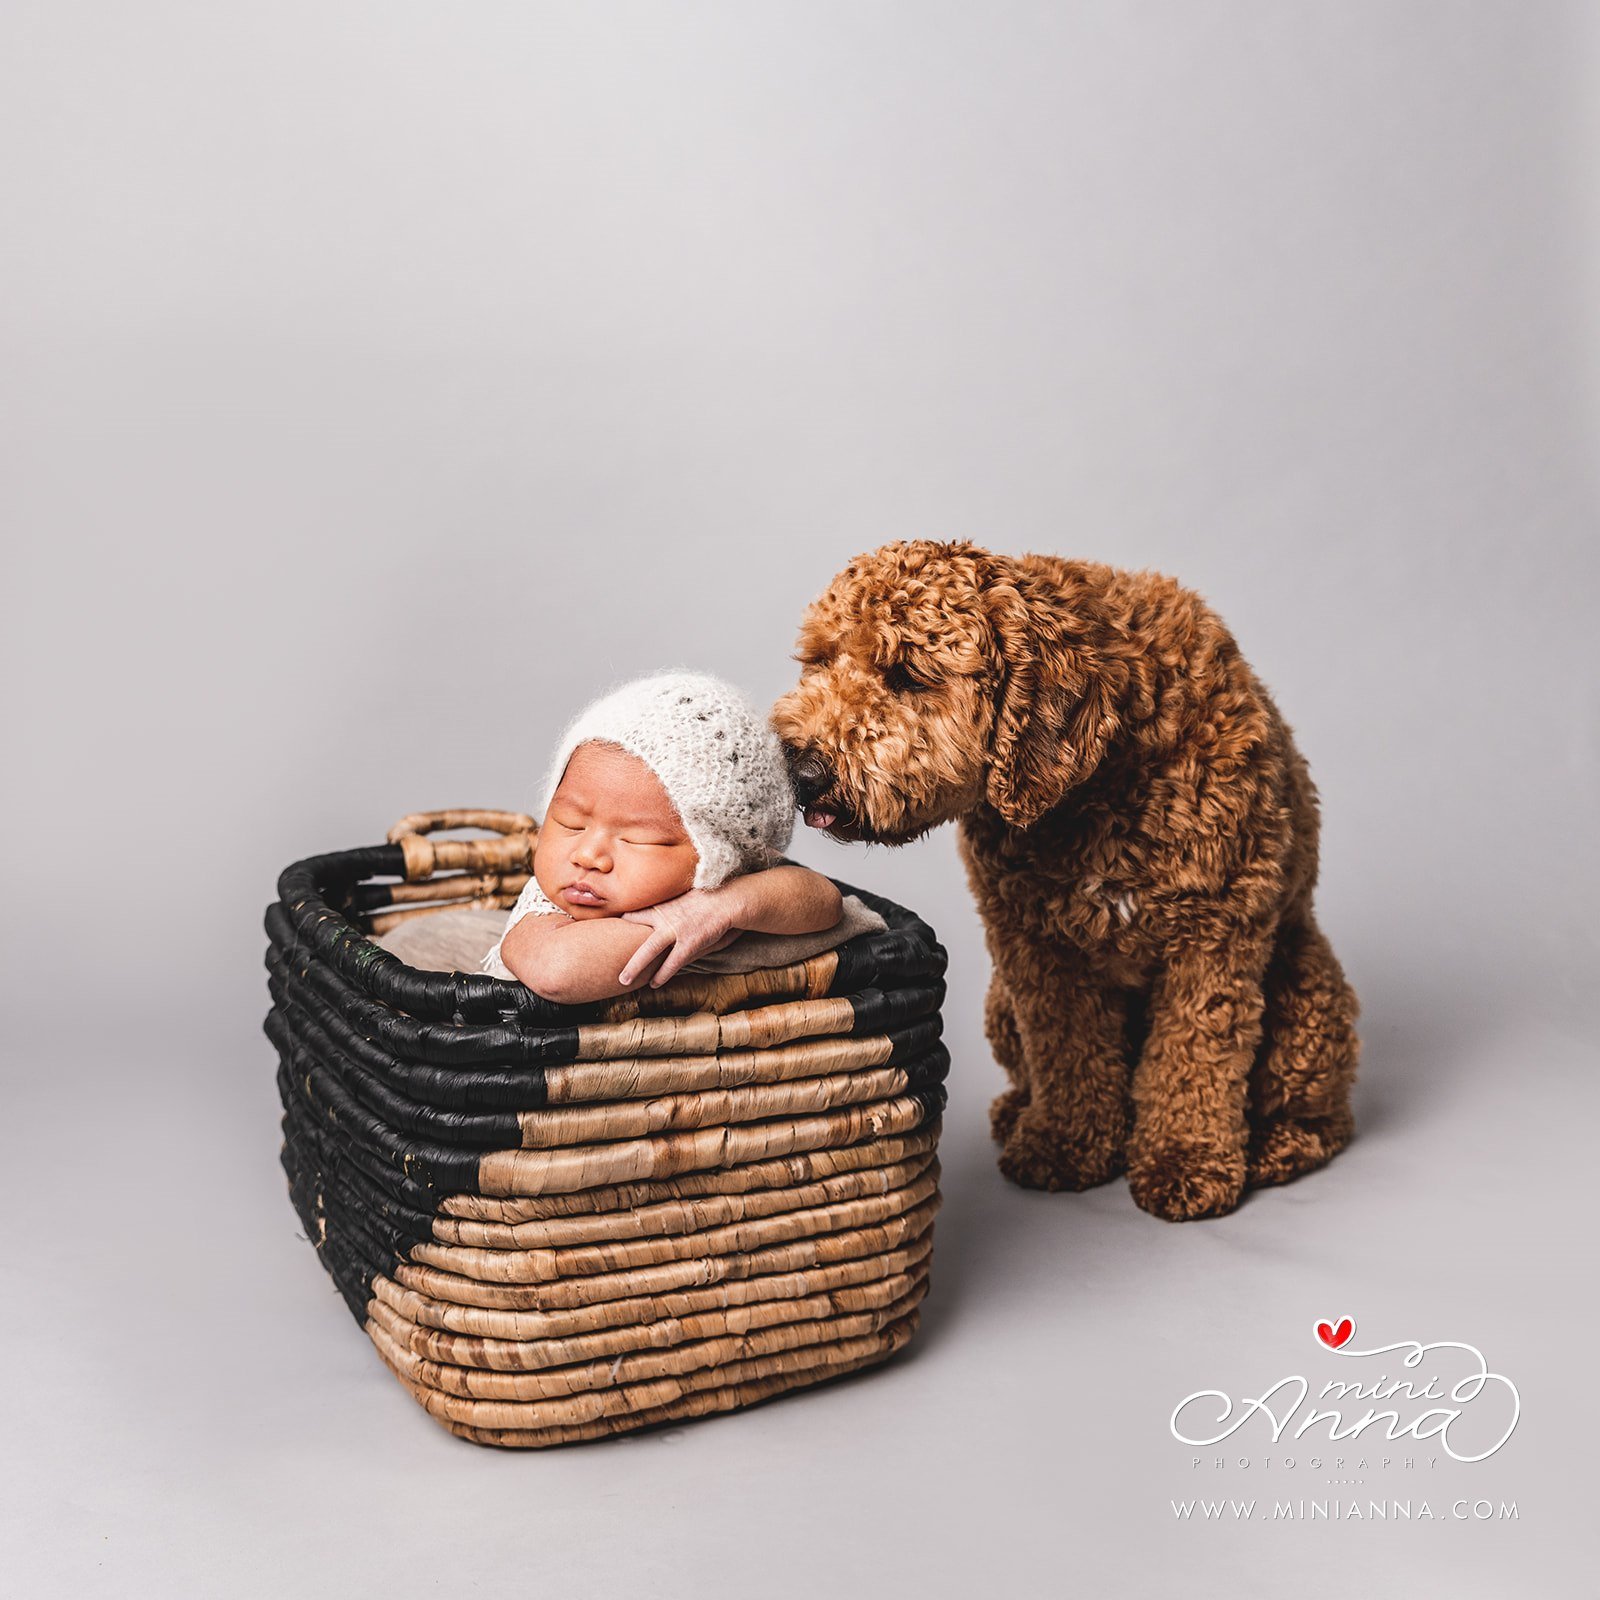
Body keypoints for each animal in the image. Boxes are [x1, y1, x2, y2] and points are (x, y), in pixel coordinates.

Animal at [774, 540, 1363, 1222]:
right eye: (819, 660)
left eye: (908, 675)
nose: (804, 771)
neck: (1096, 792)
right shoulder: (1036, 949)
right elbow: (1068, 1049)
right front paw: (1064, 1142)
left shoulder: (1213, 938)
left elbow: (1194, 1059)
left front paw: (1184, 1161)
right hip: (1002, 1003)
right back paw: (1019, 1111)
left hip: (1307, 995)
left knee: (1324, 1116)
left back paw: (1275, 1145)